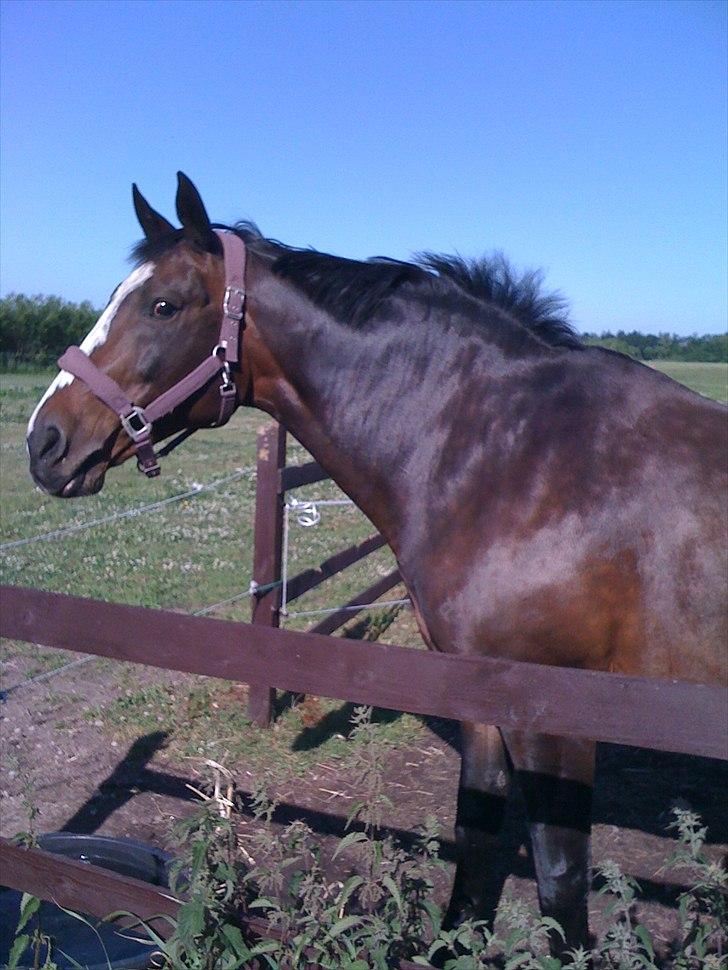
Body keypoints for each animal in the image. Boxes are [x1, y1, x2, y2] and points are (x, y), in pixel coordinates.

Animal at [25, 170, 724, 948]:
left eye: (163, 305)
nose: (43, 442)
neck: (523, 459)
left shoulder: (557, 724)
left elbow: (561, 888)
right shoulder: (483, 704)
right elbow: (474, 851)